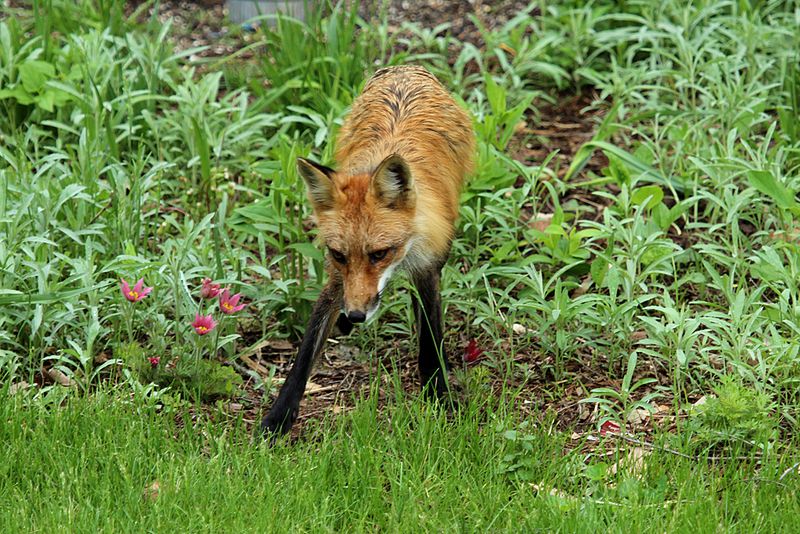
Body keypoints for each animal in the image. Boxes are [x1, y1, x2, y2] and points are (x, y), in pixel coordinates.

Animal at [261, 65, 475, 438]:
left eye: (379, 253)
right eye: (339, 255)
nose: (356, 315)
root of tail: (408, 69)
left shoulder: (428, 266)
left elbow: (430, 338)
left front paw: (439, 395)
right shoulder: (337, 280)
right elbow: (305, 352)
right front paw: (278, 418)